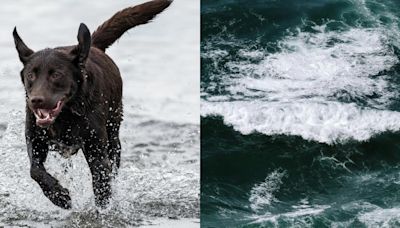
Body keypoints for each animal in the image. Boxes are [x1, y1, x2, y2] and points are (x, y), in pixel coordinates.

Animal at [12, 0, 172, 209]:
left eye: (56, 74)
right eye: (31, 75)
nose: (36, 100)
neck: (66, 115)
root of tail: (92, 46)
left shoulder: (97, 152)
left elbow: (101, 186)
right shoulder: (35, 139)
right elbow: (35, 170)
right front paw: (59, 196)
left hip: (113, 136)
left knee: (113, 164)